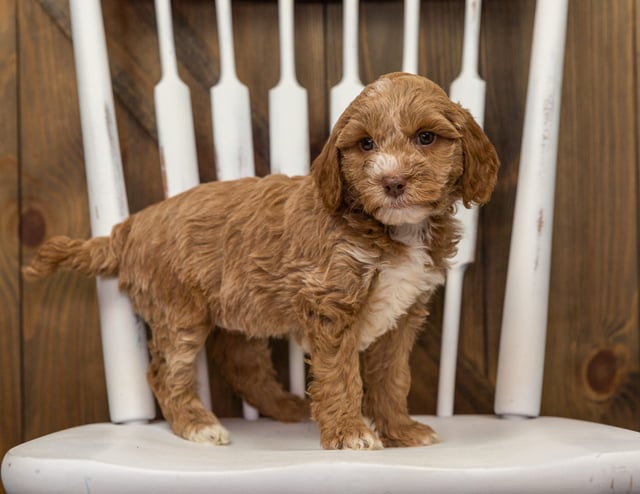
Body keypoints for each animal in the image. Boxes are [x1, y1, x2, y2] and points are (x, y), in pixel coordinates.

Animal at [26, 71, 500, 450]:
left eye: (426, 138)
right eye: (366, 144)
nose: (393, 181)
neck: (390, 229)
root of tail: (128, 226)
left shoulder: (404, 313)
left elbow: (392, 378)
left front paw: (400, 429)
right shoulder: (331, 305)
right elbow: (341, 374)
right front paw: (349, 432)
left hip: (239, 312)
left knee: (243, 368)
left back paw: (290, 408)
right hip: (179, 314)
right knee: (167, 373)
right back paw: (198, 425)